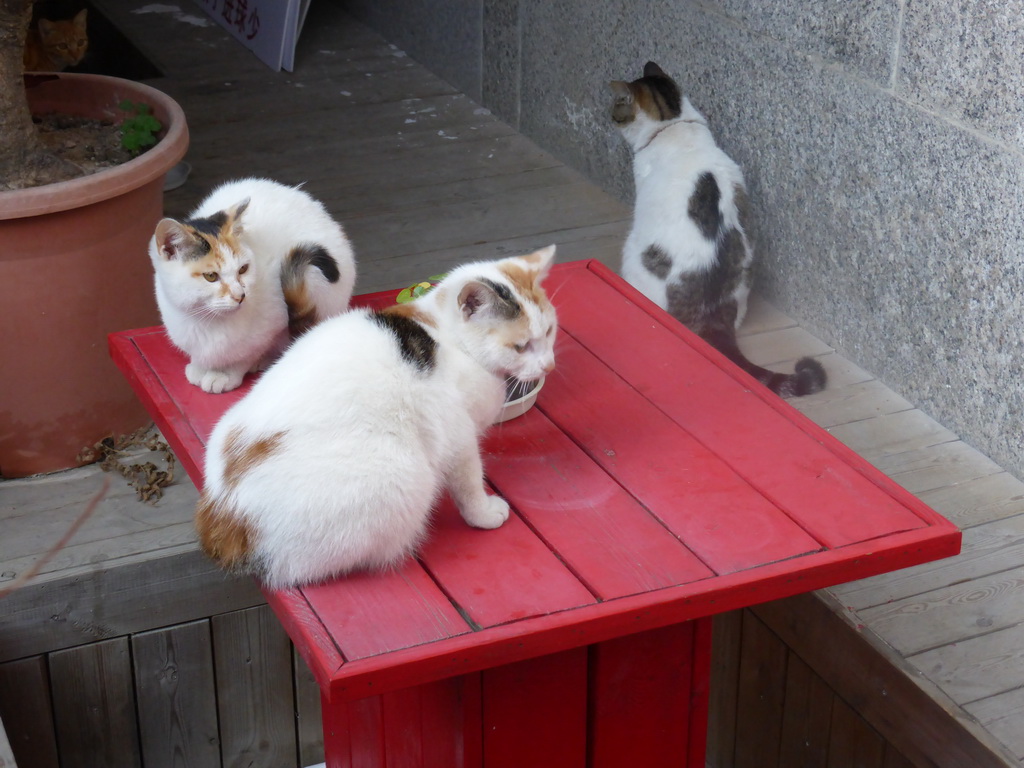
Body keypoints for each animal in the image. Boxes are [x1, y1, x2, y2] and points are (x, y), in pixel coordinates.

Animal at [149, 180, 358, 393]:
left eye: (243, 269)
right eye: (211, 276)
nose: (239, 295)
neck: (208, 320)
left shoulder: (274, 321)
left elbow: (251, 350)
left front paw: (226, 373)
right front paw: (201, 366)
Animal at [194, 246, 557, 589]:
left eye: (550, 331)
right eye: (521, 346)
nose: (549, 366)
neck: (448, 337)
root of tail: (222, 514)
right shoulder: (458, 437)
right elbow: (469, 483)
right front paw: (484, 513)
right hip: (403, 476)